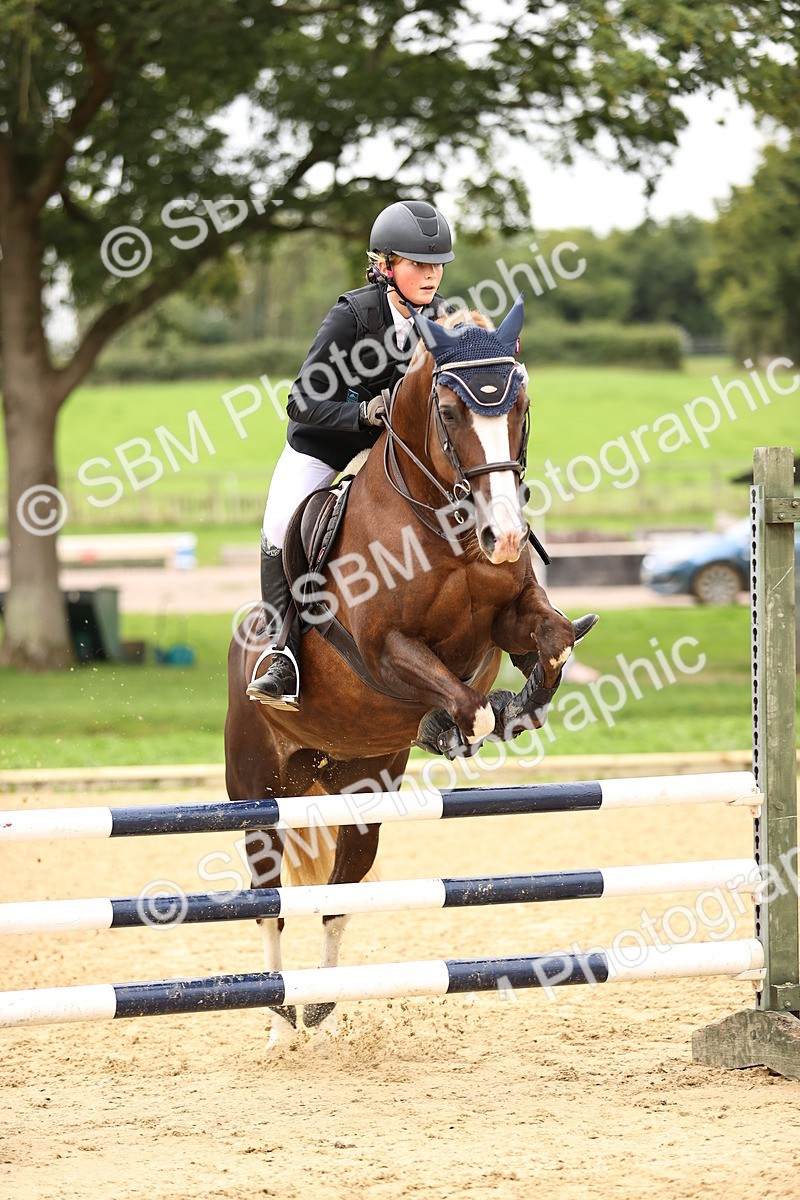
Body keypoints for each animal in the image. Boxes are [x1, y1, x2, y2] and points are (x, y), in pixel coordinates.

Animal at [225, 295, 596, 1048]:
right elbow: (464, 701)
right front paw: (457, 725)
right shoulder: (384, 649)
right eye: (449, 413)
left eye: (521, 405)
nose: (505, 535)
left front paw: (522, 703)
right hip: (256, 790)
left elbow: (551, 642)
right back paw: (279, 1018)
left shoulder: (510, 615)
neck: (448, 525)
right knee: (266, 897)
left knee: (339, 895)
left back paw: (321, 1008)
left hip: (359, 790)